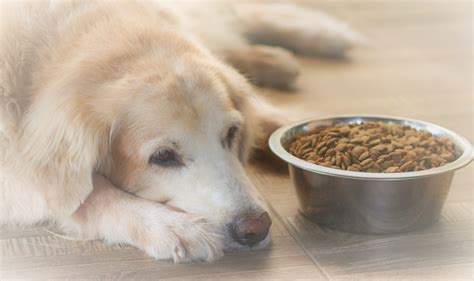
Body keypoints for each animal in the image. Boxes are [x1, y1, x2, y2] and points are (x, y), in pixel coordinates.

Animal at [0, 1, 360, 262]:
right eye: (162, 157)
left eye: (231, 133)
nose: (255, 229)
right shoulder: (17, 170)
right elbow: (88, 195)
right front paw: (170, 227)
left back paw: (317, 38)